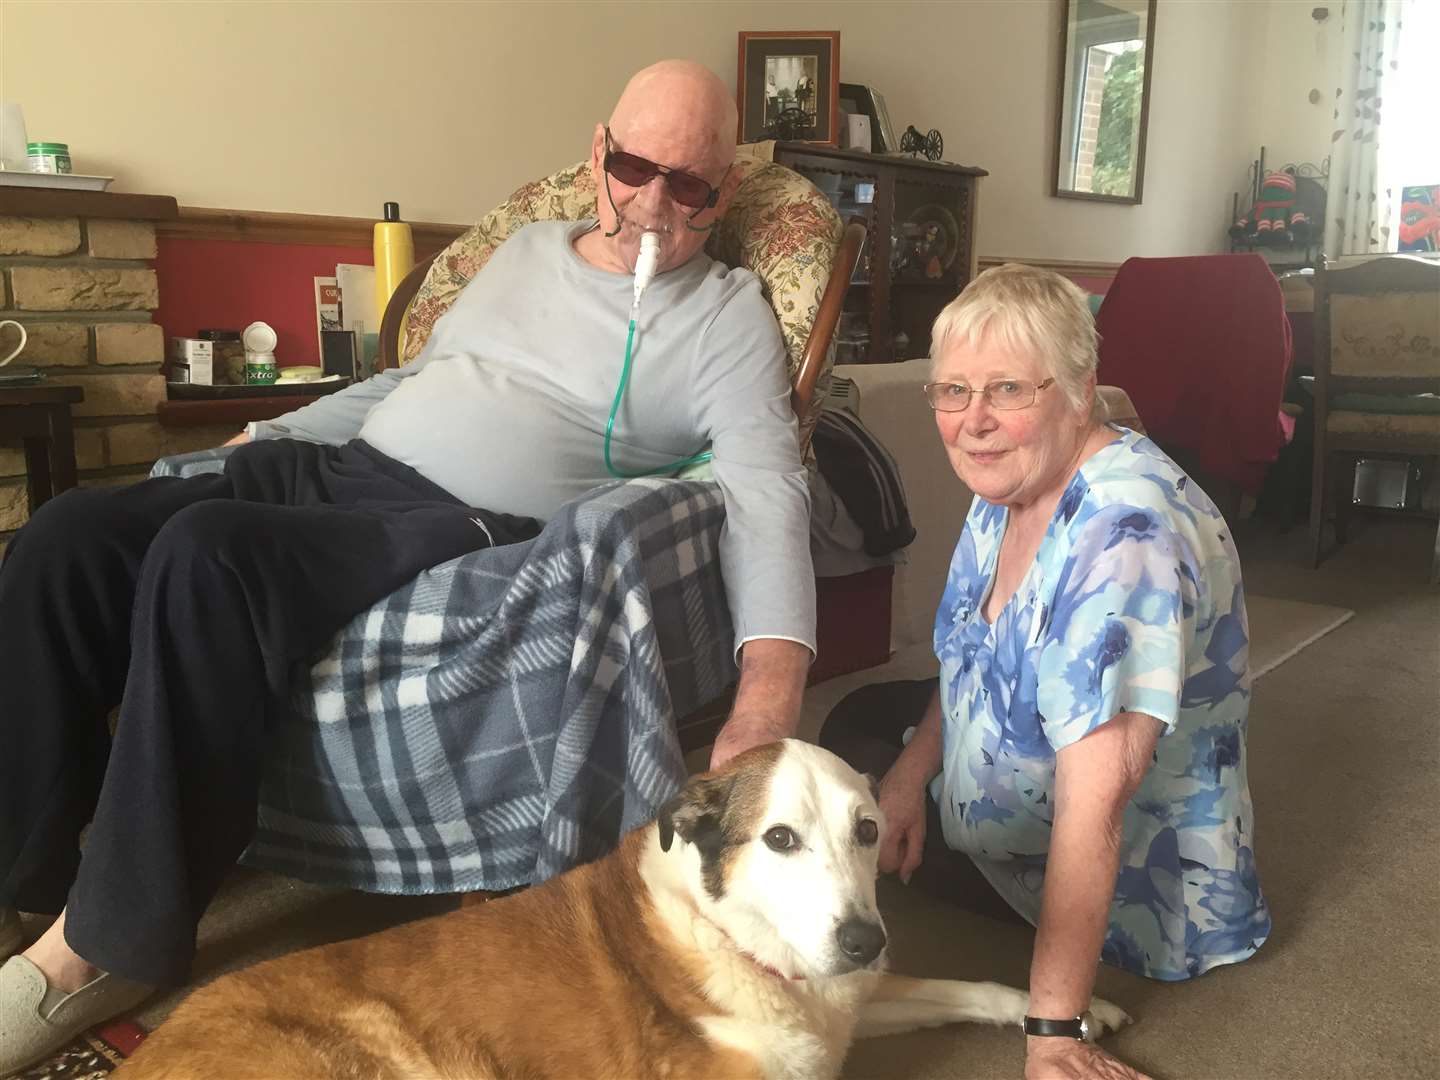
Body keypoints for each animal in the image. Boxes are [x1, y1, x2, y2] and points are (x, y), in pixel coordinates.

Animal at [118, 743, 1128, 1080]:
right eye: (781, 839)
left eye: (869, 830)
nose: (863, 938)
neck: (731, 939)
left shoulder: (843, 1001)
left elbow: (970, 986)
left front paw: (1082, 1014)